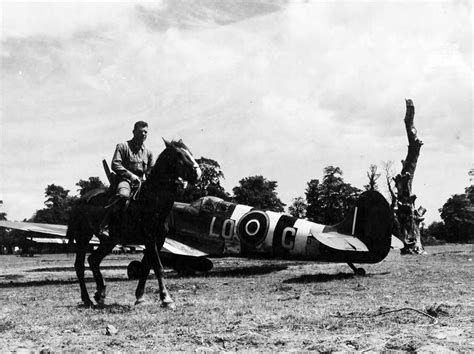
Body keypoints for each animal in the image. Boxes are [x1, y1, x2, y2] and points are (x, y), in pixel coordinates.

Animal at [66, 138, 200, 306]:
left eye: (190, 152)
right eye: (178, 154)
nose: (197, 173)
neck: (151, 199)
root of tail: (80, 201)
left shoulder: (158, 240)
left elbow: (146, 267)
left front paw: (140, 296)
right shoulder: (150, 239)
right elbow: (158, 267)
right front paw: (166, 298)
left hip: (109, 241)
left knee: (93, 260)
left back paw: (100, 293)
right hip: (83, 238)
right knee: (80, 266)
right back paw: (87, 298)